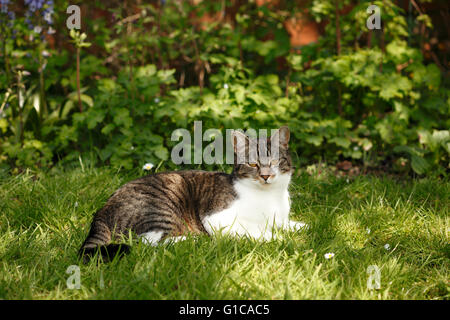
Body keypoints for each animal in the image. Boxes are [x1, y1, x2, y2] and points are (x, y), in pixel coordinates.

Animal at [80, 125, 306, 262]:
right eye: (253, 164)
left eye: (275, 161)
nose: (266, 176)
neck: (270, 196)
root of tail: (101, 211)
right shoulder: (216, 218)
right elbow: (256, 231)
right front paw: (278, 238)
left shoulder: (280, 218)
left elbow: (288, 224)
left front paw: (300, 227)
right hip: (162, 205)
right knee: (147, 243)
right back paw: (194, 240)